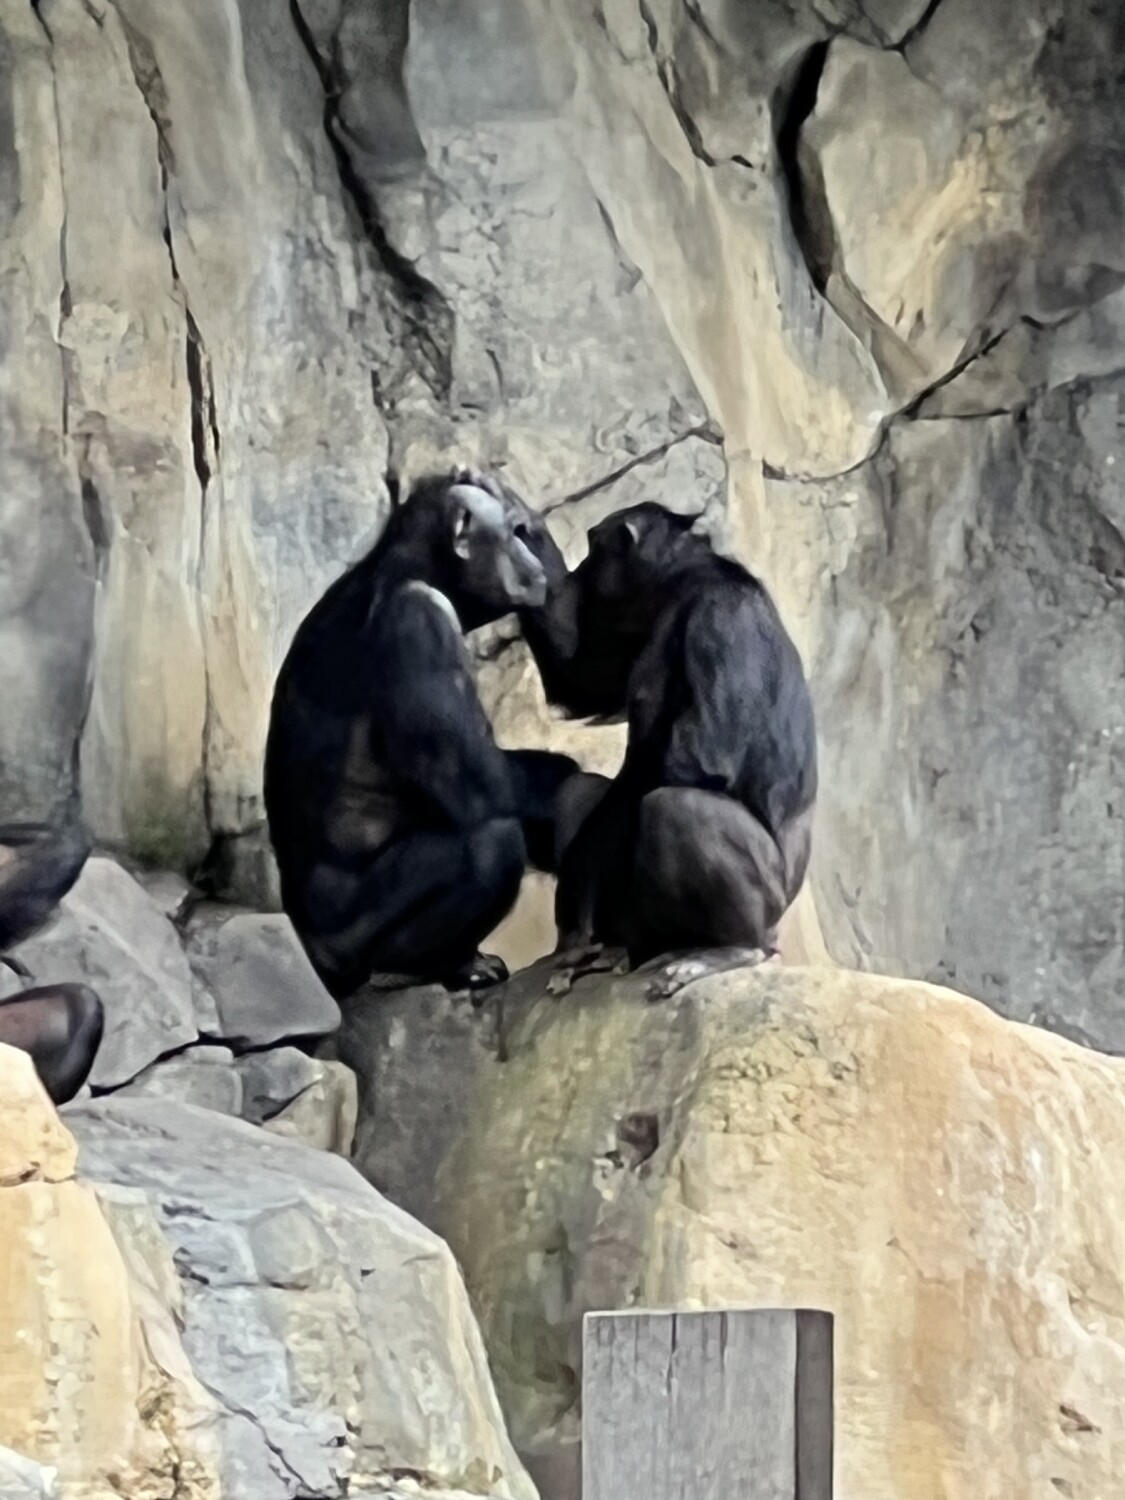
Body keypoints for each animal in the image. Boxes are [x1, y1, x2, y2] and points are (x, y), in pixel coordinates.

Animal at [264, 470, 582, 1000]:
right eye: (514, 532)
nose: (533, 561)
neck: (419, 571)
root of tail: (308, 953)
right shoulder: (419, 625)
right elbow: (481, 785)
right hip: (348, 943)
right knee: (489, 842)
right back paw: (420, 967)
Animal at [519, 501, 818, 996]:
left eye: (593, 545)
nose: (580, 571)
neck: (683, 580)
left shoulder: (720, 617)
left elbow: (701, 756)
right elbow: (580, 679)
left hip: (767, 910)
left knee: (676, 808)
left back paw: (724, 951)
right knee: (580, 790)